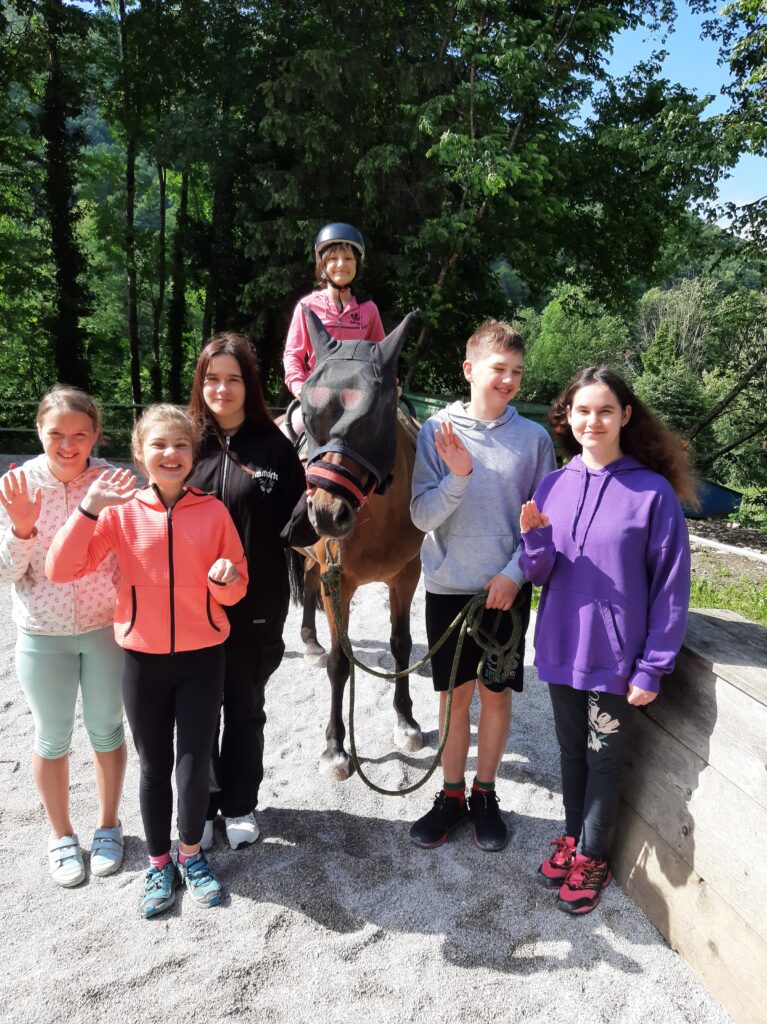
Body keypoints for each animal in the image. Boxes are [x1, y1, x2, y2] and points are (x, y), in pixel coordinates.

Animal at [289, 307, 424, 780]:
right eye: (309, 413)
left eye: (372, 418)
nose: (328, 513)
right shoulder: (339, 584)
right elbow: (340, 661)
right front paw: (335, 746)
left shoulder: (406, 576)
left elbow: (400, 644)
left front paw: (406, 719)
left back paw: (309, 638)